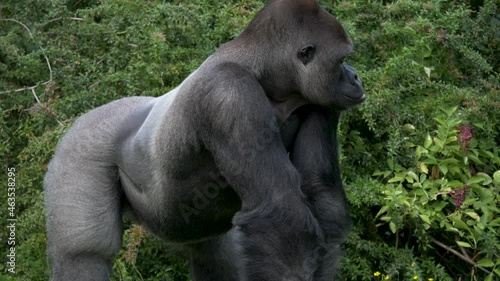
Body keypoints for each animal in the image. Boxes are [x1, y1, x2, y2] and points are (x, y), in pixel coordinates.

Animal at [44, 0, 364, 280]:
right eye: (343, 60)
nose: (356, 77)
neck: (264, 74)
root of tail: (84, 118)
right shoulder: (229, 93)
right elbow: (281, 210)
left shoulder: (318, 100)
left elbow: (321, 197)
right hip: (80, 149)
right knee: (87, 254)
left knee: (215, 256)